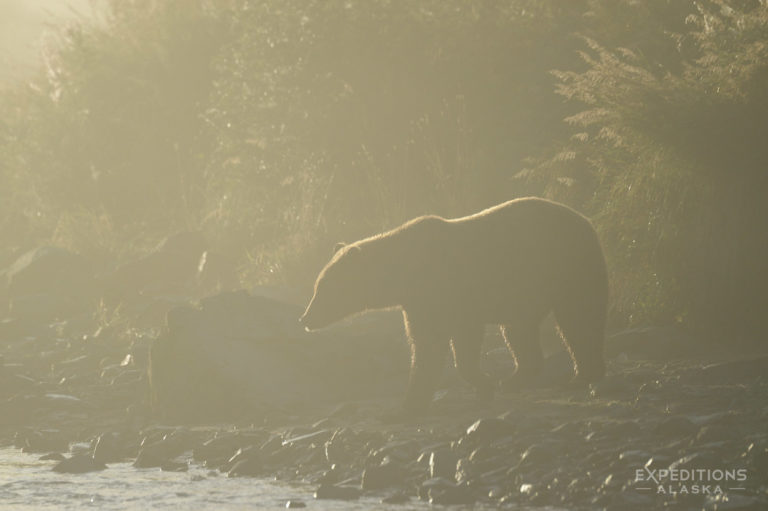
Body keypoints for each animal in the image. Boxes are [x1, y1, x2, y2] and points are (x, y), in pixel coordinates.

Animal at [300, 197, 608, 415]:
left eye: (322, 289)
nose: (305, 318)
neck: (404, 274)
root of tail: (587, 221)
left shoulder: (447, 293)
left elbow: (437, 346)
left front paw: (408, 407)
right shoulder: (420, 303)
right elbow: (432, 342)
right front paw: (482, 385)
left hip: (567, 268)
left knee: (577, 319)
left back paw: (581, 376)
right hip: (527, 292)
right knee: (519, 331)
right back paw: (515, 378)